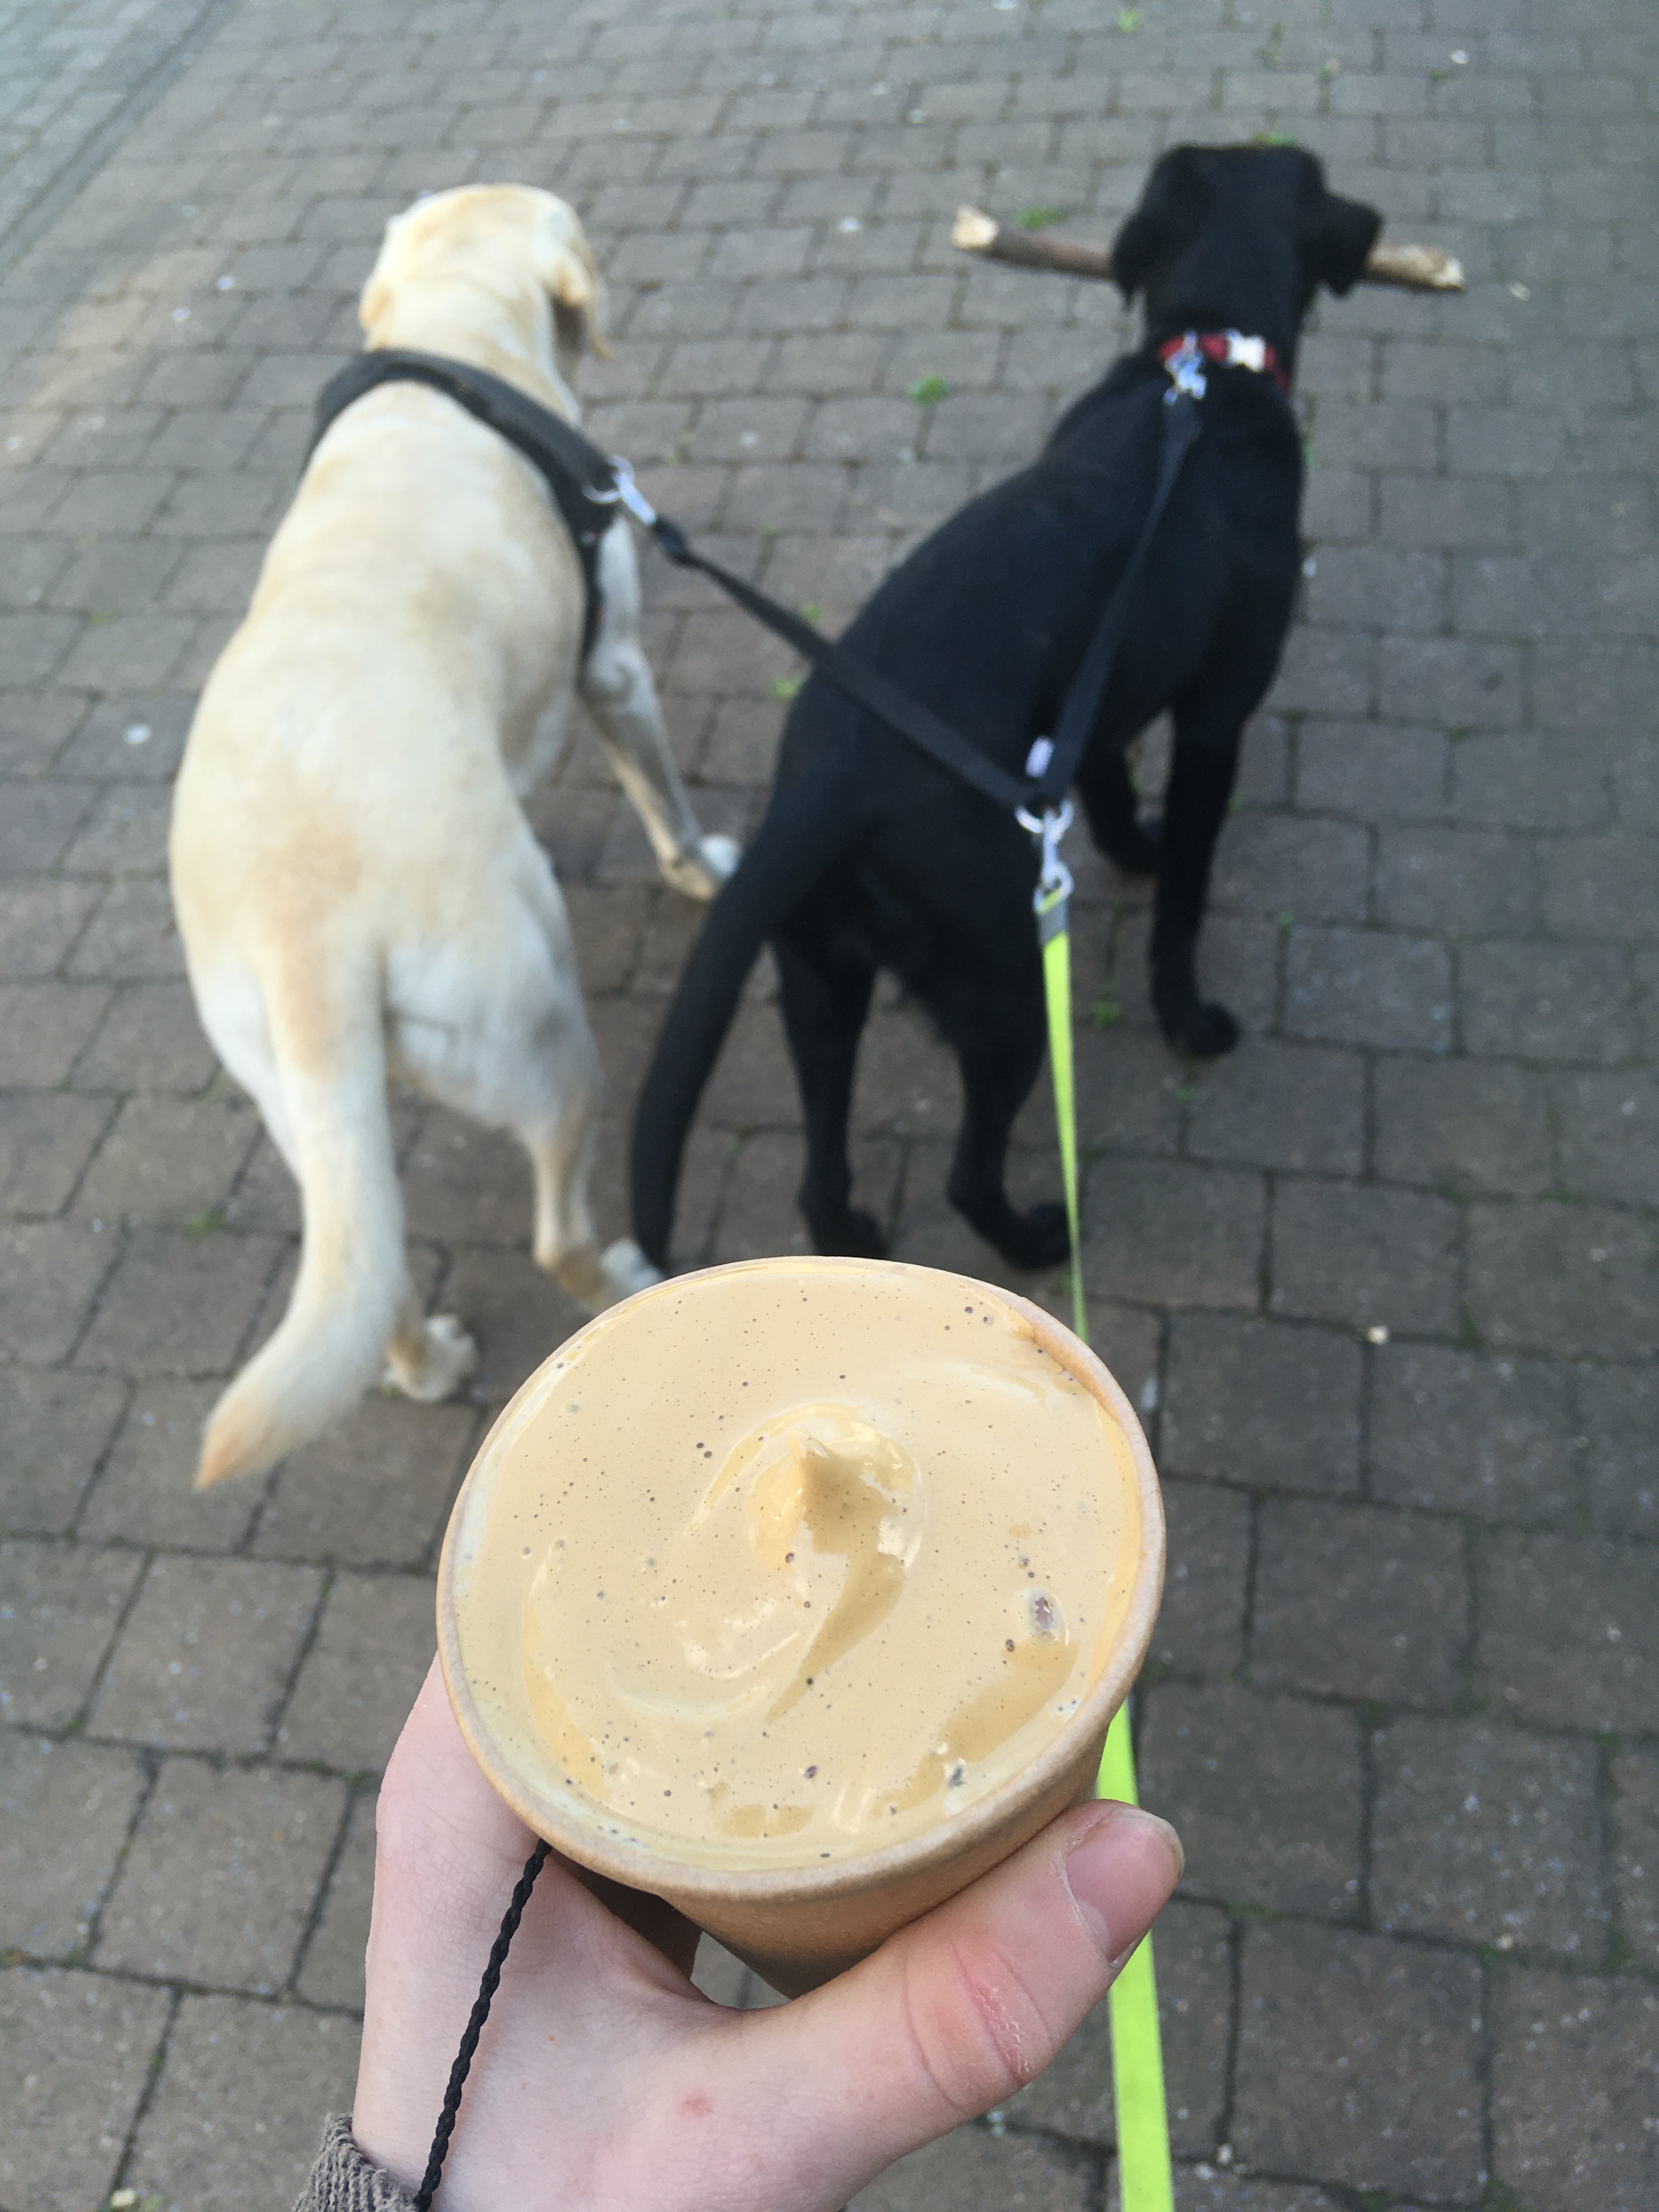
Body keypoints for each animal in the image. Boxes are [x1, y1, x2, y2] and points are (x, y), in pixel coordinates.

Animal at [171, 185, 734, 1489]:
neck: (455, 338)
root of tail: (307, 935)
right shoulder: (613, 666)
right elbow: (664, 800)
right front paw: (700, 868)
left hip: (302, 1114)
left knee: (367, 1281)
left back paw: (428, 1366)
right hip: (543, 1035)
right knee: (557, 1236)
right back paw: (621, 1277)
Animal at [628, 145, 1380, 1276]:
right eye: (1323, 180)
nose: (1375, 223)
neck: (1203, 370)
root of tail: (822, 789)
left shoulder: (1090, 710)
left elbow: (1108, 787)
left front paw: (1130, 846)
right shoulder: (1214, 718)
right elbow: (1182, 900)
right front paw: (1187, 1016)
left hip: (819, 987)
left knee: (818, 1171)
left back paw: (852, 1241)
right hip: (1009, 990)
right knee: (965, 1172)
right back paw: (1036, 1241)